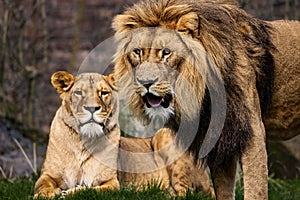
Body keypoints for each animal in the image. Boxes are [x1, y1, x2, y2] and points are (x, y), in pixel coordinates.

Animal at [112, 0, 300, 199]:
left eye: (166, 52)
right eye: (137, 52)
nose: (145, 82)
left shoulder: (252, 131)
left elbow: (256, 188)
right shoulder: (219, 134)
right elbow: (223, 189)